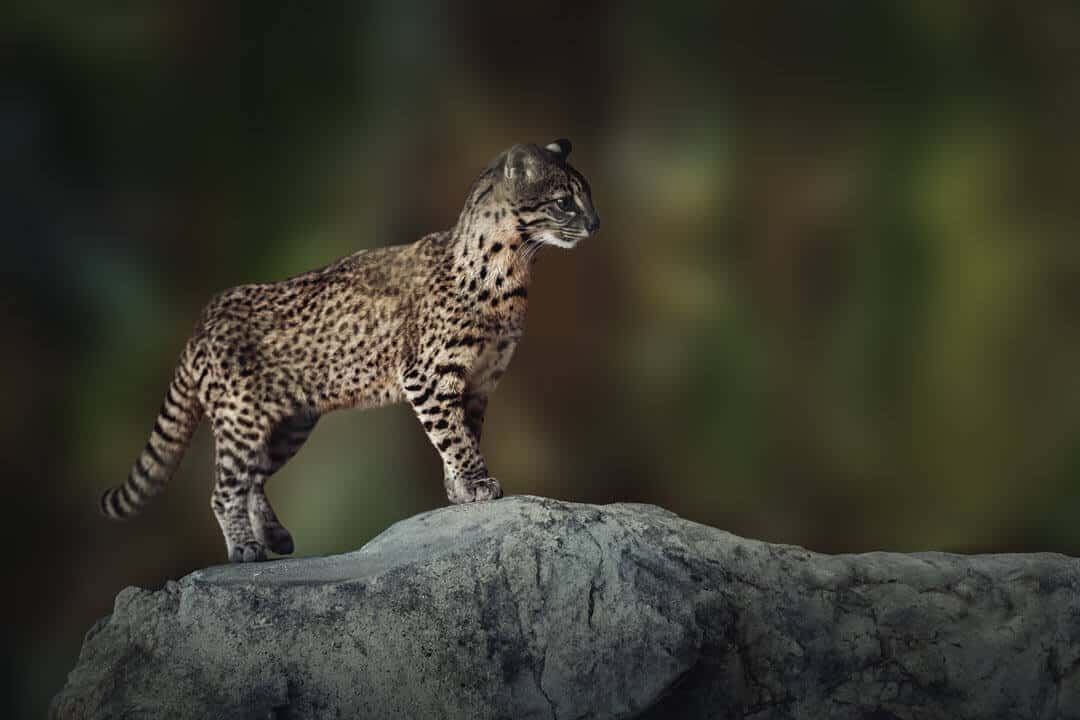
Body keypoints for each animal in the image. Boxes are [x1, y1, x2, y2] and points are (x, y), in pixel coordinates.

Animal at [99, 136, 600, 561]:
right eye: (564, 201)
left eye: (589, 196)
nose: (596, 224)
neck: (511, 264)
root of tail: (205, 313)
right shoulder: (428, 378)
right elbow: (454, 437)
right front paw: (474, 484)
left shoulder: (477, 383)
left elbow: (464, 435)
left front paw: (460, 490)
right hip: (241, 417)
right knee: (225, 488)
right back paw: (244, 548)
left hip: (288, 422)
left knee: (252, 479)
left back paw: (274, 536)